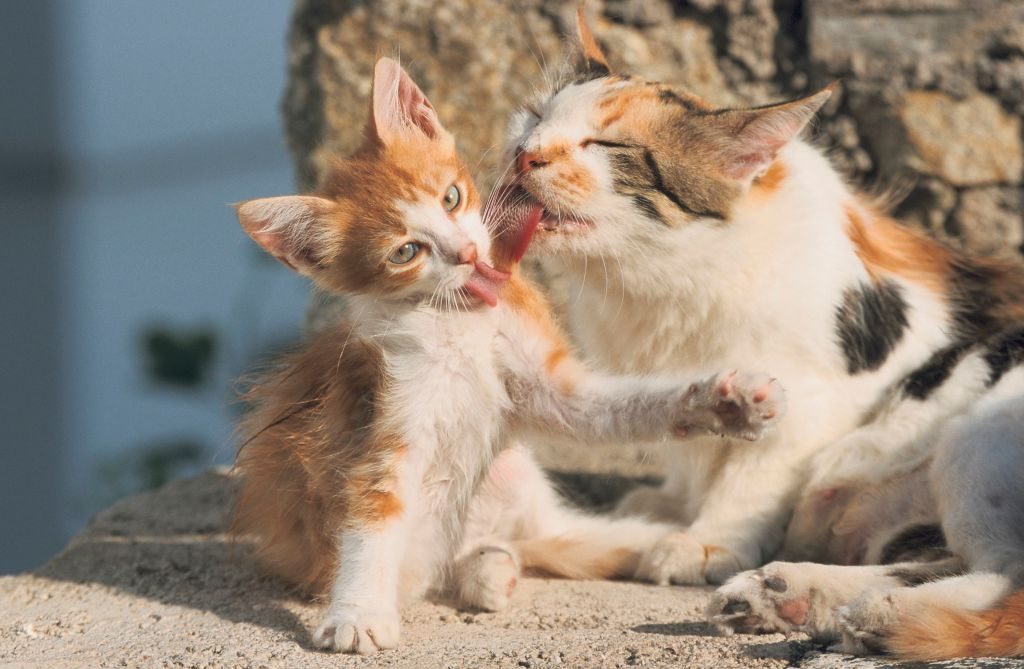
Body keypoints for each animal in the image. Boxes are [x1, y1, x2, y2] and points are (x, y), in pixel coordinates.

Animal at [485, 10, 1024, 663]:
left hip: (978, 432)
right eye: (535, 117)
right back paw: (789, 595)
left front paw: (707, 539)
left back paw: (883, 615)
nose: (526, 154)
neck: (655, 277)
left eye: (605, 147)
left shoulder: (810, 395)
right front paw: (673, 506)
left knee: (1004, 572)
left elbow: (753, 472)